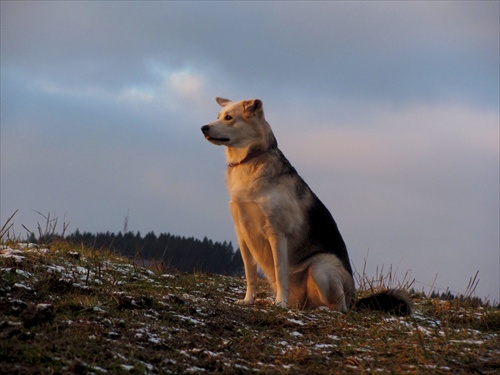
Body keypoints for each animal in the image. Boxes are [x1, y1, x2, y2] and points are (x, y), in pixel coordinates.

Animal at [201, 98, 412, 316]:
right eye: (218, 116)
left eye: (229, 117)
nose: (203, 128)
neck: (250, 160)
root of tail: (354, 298)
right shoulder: (243, 234)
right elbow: (250, 275)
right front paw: (248, 300)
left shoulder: (277, 233)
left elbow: (280, 272)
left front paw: (280, 303)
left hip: (320, 266)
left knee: (340, 307)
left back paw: (325, 309)